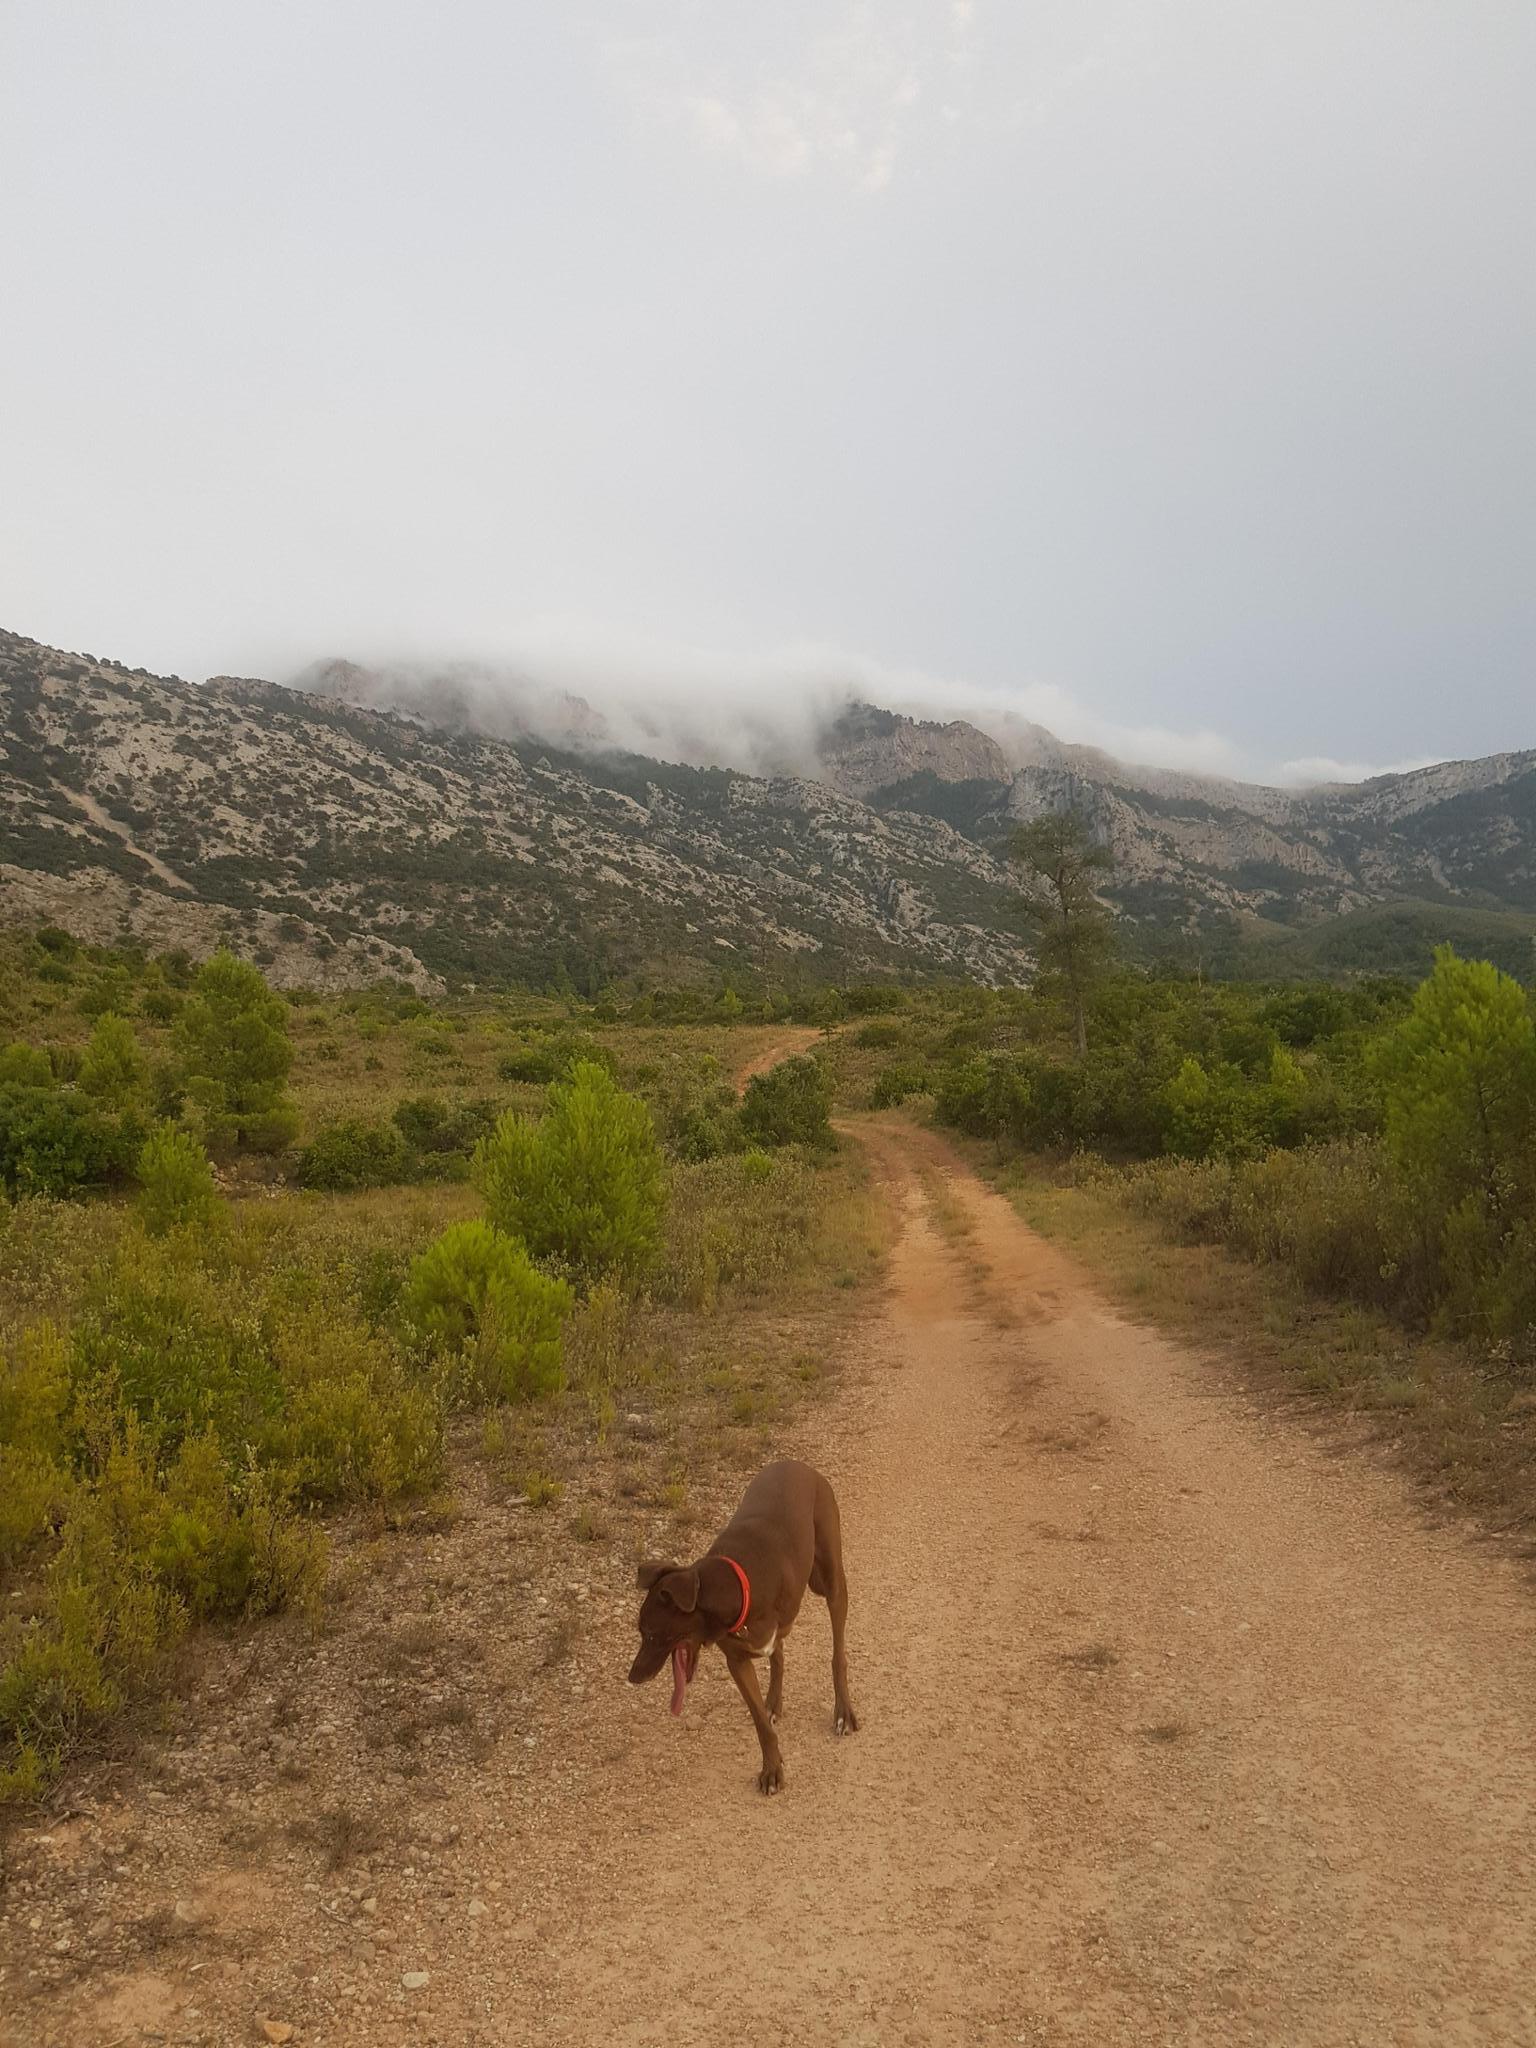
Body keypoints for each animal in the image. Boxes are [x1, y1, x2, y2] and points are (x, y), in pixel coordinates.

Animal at [630, 1458, 860, 1794]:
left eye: (652, 1634)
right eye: (641, 1631)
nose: (632, 1678)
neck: (733, 1586)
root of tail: (797, 1463)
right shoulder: (738, 1661)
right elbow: (761, 1723)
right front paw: (771, 1768)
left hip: (829, 1581)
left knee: (837, 1653)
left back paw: (842, 1710)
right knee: (779, 1655)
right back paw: (774, 1702)